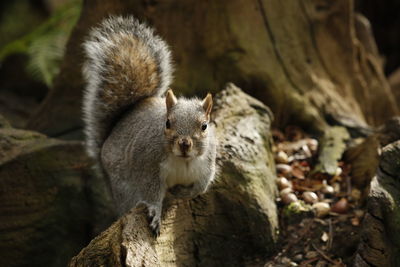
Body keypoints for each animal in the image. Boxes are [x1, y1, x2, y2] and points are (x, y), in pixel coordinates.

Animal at [81, 15, 217, 237]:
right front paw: (155, 212)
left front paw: (181, 192)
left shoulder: (206, 167)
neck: (184, 161)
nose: (184, 144)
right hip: (123, 188)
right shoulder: (148, 165)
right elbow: (151, 192)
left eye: (204, 126)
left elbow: (199, 188)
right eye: (167, 123)